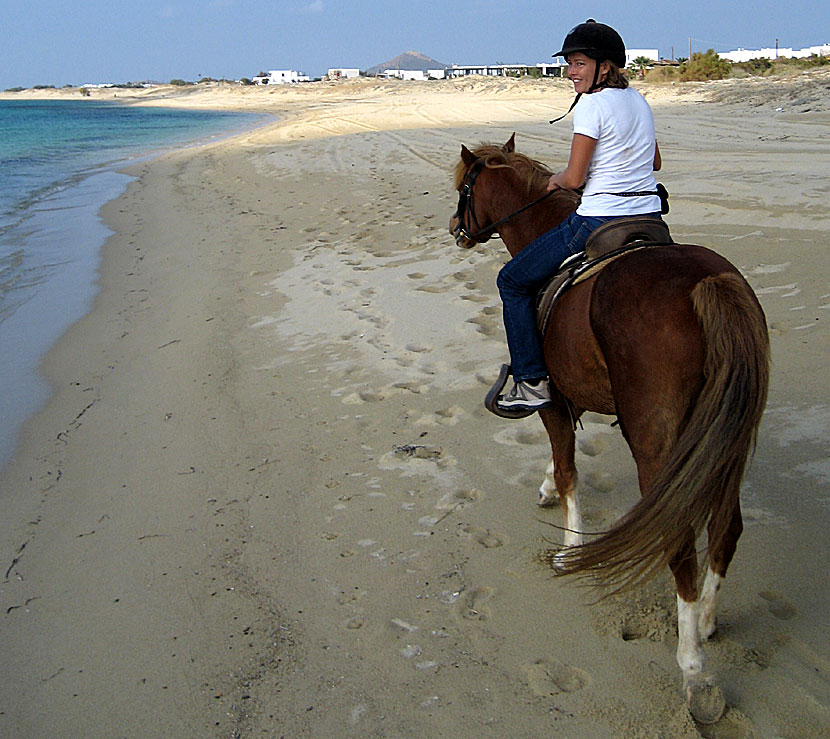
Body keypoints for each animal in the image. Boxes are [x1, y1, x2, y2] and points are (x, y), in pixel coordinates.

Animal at [448, 136, 772, 724]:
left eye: (464, 187)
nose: (454, 229)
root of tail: (708, 283)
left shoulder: (552, 399)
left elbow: (569, 470)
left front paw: (569, 548)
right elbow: (562, 466)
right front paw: (547, 489)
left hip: (657, 447)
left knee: (680, 545)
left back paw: (693, 669)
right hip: (729, 439)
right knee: (726, 529)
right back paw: (707, 621)